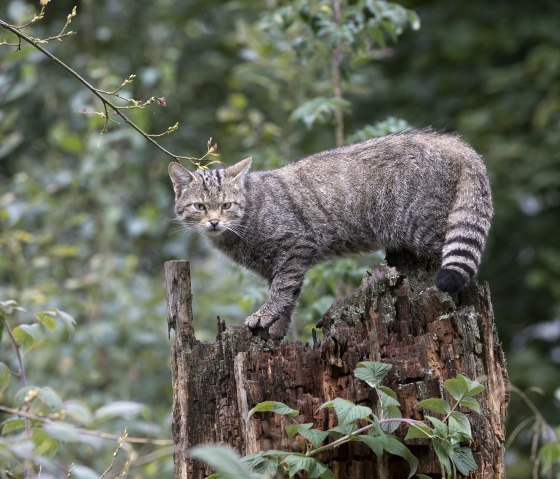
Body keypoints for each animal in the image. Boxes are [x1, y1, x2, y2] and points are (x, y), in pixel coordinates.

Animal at [168, 131, 492, 340]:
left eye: (226, 205)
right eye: (199, 207)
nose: (213, 222)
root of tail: (456, 144)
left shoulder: (295, 246)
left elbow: (282, 290)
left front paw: (266, 315)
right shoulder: (279, 264)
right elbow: (290, 295)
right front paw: (277, 328)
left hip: (423, 226)